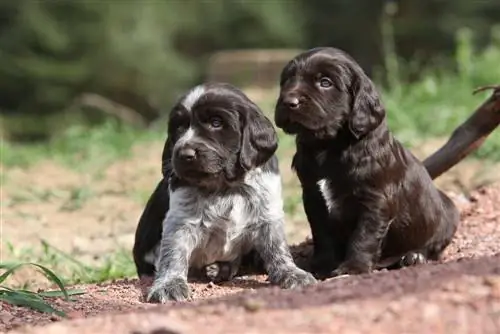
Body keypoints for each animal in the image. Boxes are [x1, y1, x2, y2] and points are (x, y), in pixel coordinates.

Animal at [131, 81, 314, 302]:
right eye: (179, 127)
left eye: (216, 123)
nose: (184, 154)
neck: (226, 186)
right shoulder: (180, 220)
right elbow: (173, 254)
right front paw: (168, 285)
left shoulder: (268, 213)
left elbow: (277, 247)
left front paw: (292, 273)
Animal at [274, 45, 460, 278]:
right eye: (287, 80)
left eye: (325, 82)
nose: (289, 102)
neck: (329, 146)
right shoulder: (312, 195)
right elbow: (322, 233)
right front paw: (322, 265)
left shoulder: (374, 200)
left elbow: (363, 236)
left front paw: (353, 268)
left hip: (449, 215)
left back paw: (414, 256)